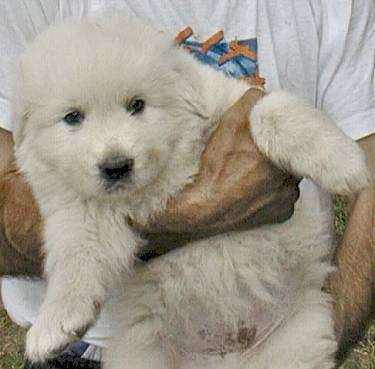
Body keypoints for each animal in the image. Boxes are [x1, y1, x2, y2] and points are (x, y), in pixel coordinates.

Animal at [13, 15, 372, 368]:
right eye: (73, 117)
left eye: (137, 105)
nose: (116, 166)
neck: (163, 177)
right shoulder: (79, 210)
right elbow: (76, 256)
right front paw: (53, 326)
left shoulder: (232, 102)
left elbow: (270, 112)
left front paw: (345, 163)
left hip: (294, 342)